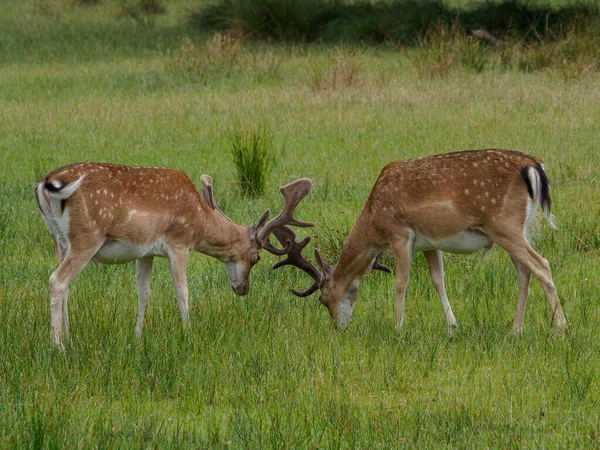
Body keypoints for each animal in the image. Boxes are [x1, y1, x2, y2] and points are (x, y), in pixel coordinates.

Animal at [35, 163, 312, 348]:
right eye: (256, 258)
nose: (242, 288)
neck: (200, 221)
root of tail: (45, 183)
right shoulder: (179, 243)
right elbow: (182, 291)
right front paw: (189, 333)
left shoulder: (144, 251)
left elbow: (144, 292)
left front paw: (137, 337)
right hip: (87, 236)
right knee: (57, 280)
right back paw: (57, 346)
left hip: (58, 239)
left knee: (65, 285)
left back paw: (69, 340)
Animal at [276, 150, 568, 334]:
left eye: (323, 300)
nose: (338, 328)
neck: (374, 219)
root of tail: (533, 167)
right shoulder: (430, 244)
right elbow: (438, 279)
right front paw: (452, 327)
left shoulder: (401, 234)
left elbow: (400, 281)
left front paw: (397, 327)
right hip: (517, 230)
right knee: (524, 273)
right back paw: (515, 330)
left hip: (504, 225)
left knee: (541, 265)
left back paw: (561, 329)